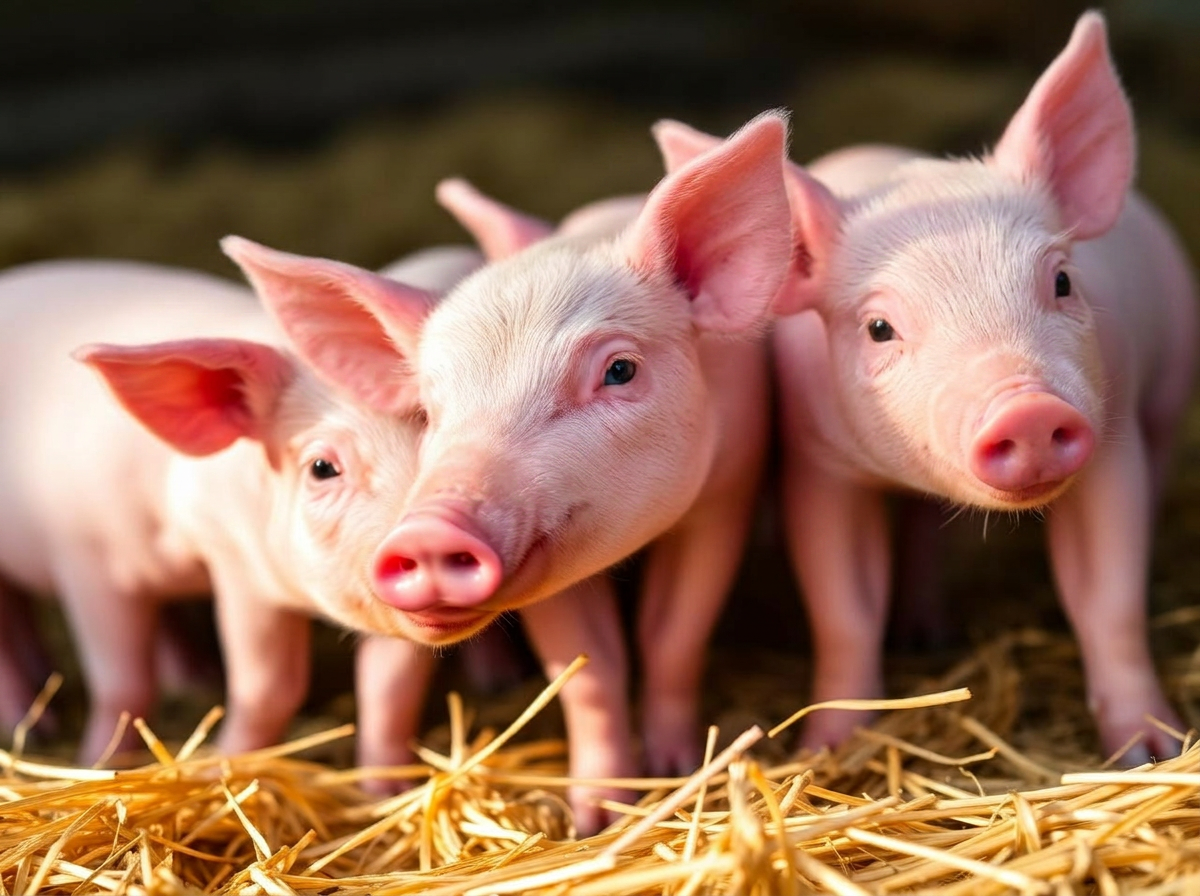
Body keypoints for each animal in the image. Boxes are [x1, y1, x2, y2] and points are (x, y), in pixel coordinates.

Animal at [222, 112, 795, 805]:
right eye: (427, 410)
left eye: (620, 370)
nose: (429, 530)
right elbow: (588, 672)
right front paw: (597, 812)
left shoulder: (727, 492)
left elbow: (672, 638)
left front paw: (674, 766)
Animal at [655, 12, 1198, 764]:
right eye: (880, 327)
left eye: (1062, 281)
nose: (1027, 408)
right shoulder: (819, 461)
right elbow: (844, 604)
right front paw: (827, 749)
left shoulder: (1112, 439)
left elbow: (1108, 597)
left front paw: (1155, 750)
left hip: (1171, 385)